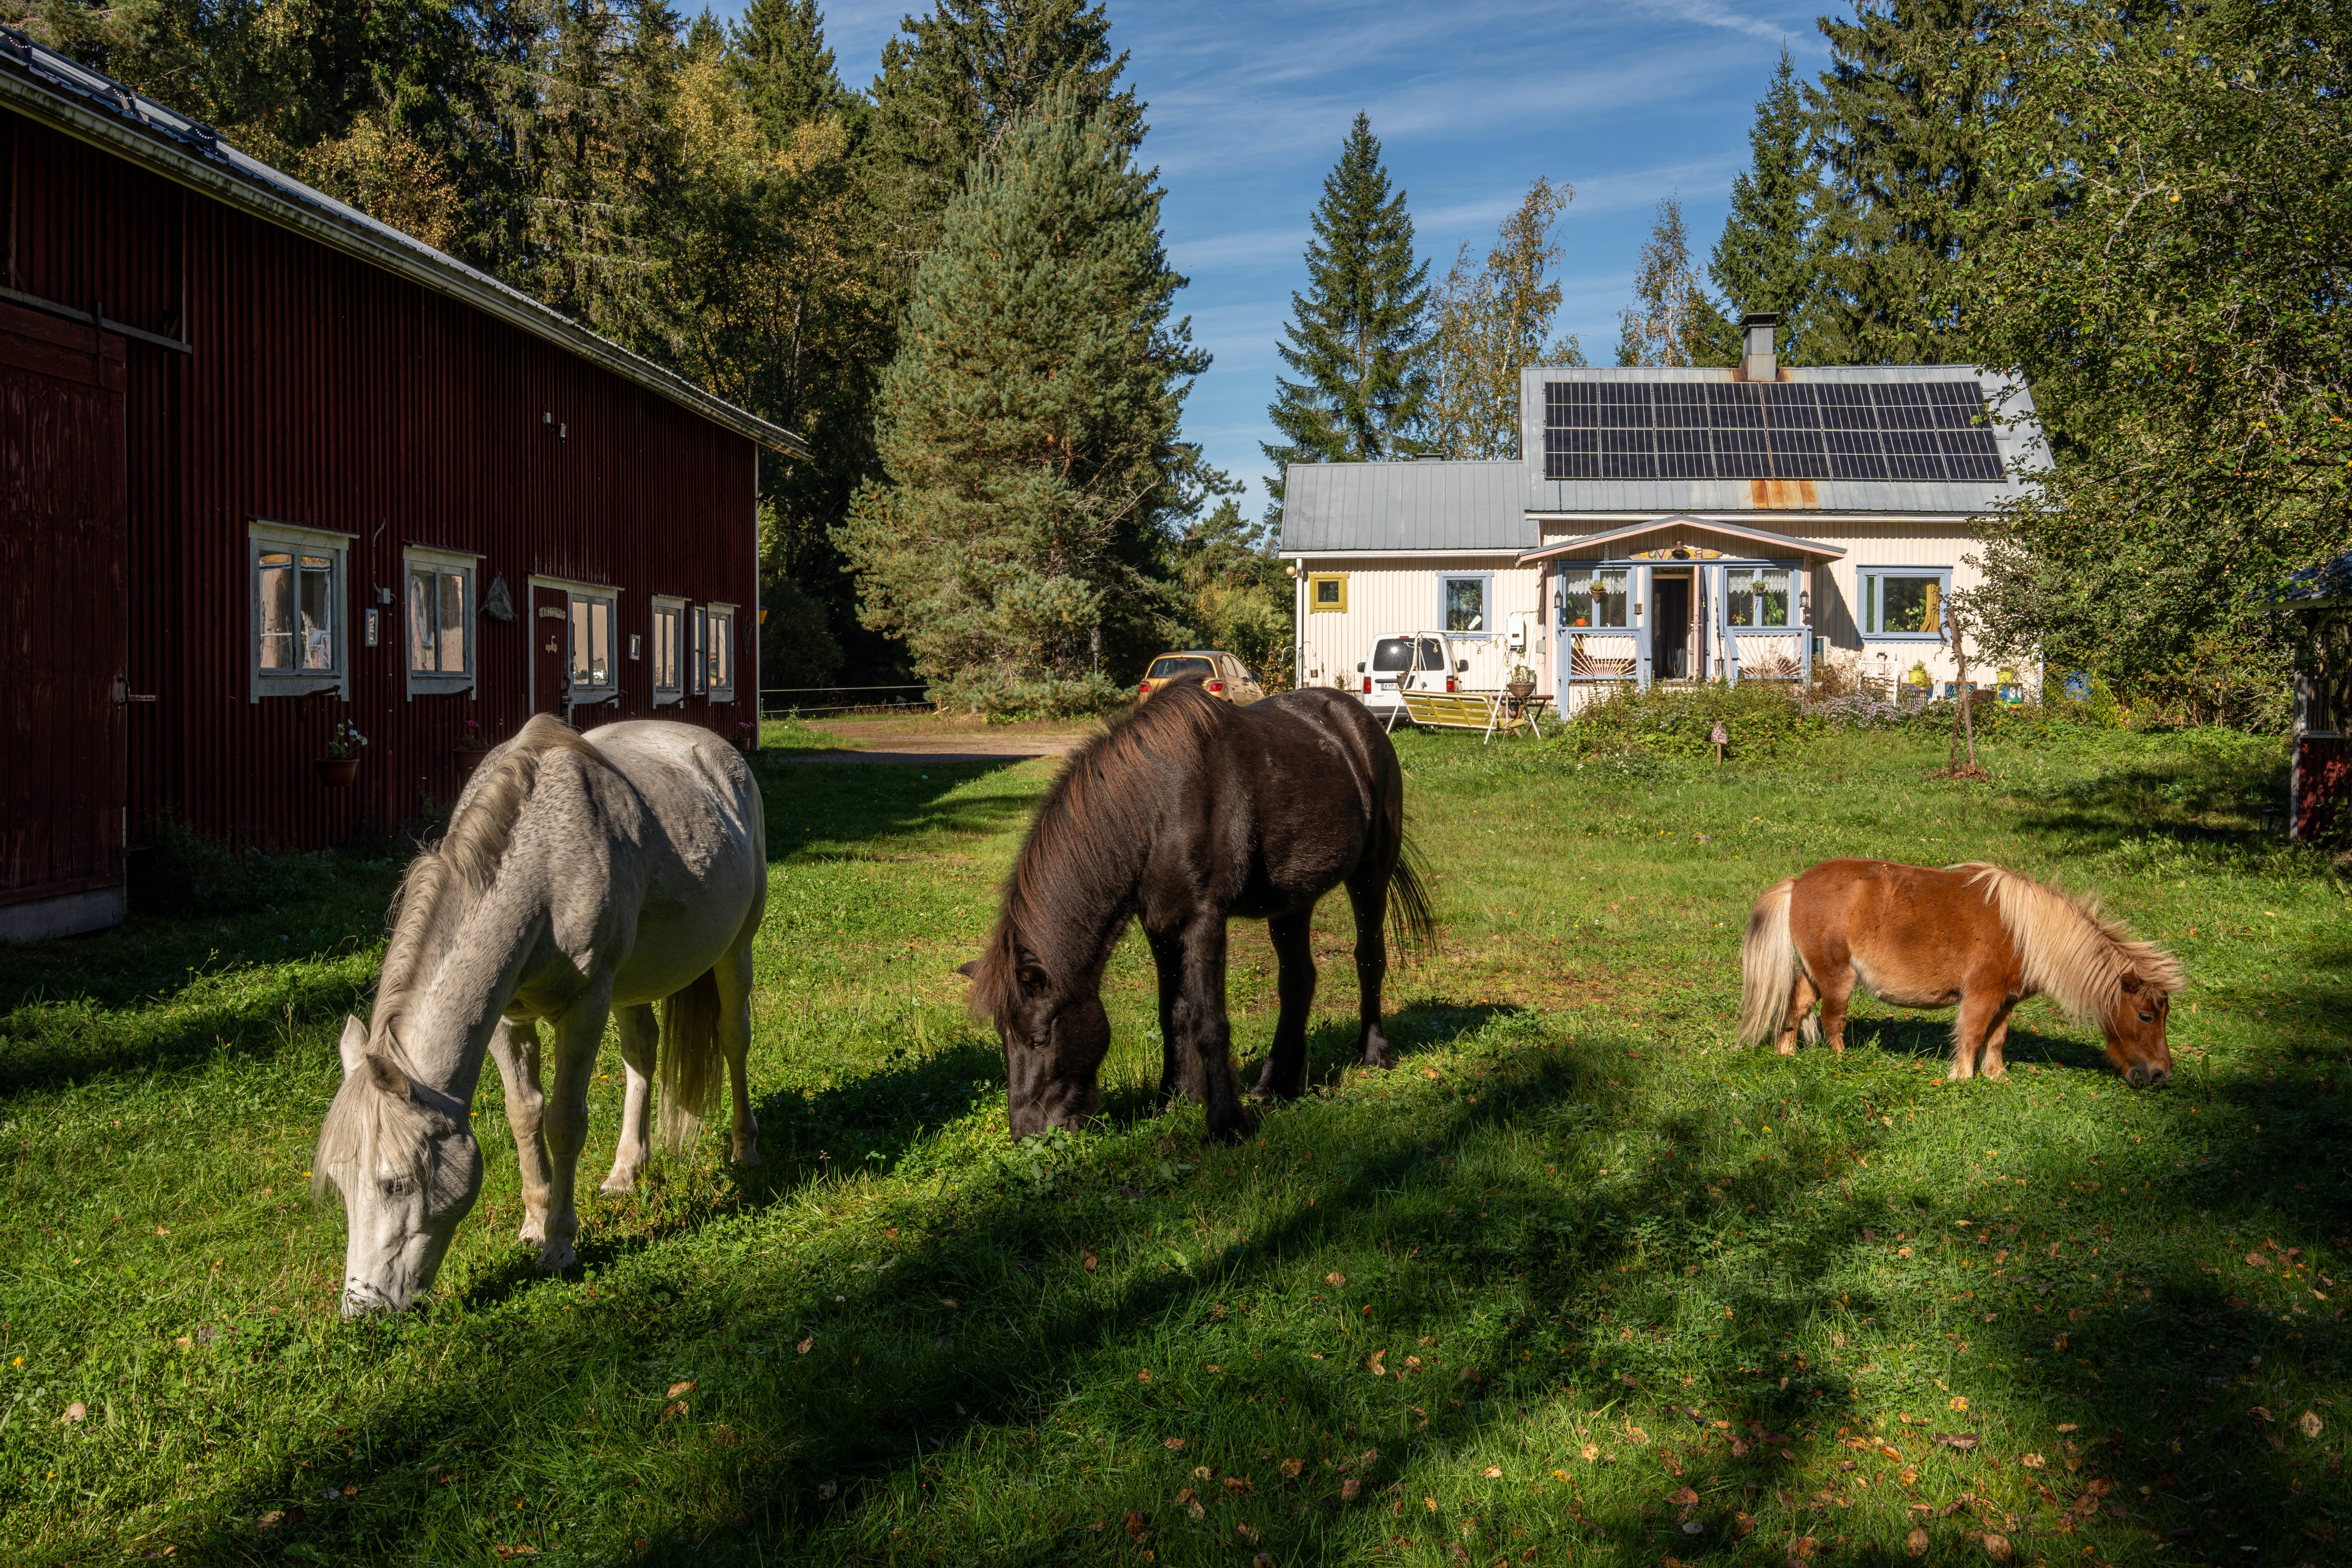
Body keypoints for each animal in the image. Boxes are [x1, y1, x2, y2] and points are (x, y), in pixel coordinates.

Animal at [310, 719, 762, 1316]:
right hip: (633, 983)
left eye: (397, 1184)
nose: (362, 1309)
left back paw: (744, 1149)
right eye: (341, 1184)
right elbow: (525, 1114)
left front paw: (560, 1244)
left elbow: (565, 1121)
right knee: (641, 1053)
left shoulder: (587, 1004)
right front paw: (534, 1222)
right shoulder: (510, 1019)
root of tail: (713, 747)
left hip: (736, 949)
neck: (544, 867)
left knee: (734, 1040)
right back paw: (626, 1171)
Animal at [955, 677, 1430, 1142]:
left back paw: (1375, 1053)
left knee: (1369, 959)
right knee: (1298, 980)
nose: (1027, 1135)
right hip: (1293, 900)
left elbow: (1209, 1021)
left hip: (1370, 877)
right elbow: (1174, 1013)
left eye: (1039, 1038)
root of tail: (1359, 724)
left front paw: (1226, 1123)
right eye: (1002, 1037)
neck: (1158, 811)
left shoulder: (1205, 922)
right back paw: (1276, 1083)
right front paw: (1174, 1097)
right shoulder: (1162, 928)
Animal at [1731, 860, 2183, 1091]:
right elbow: (1971, 1034)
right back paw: (1844, 1062)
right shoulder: (1981, 994)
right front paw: (1963, 1078)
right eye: (2145, 1015)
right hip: (1838, 980)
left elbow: (1996, 1039)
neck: (2027, 932)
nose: (2161, 1075)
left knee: (1797, 1008)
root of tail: (1797, 883)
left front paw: (1997, 1076)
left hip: (1815, 975)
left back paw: (1786, 1054)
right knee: (1832, 1023)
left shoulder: (2005, 1000)